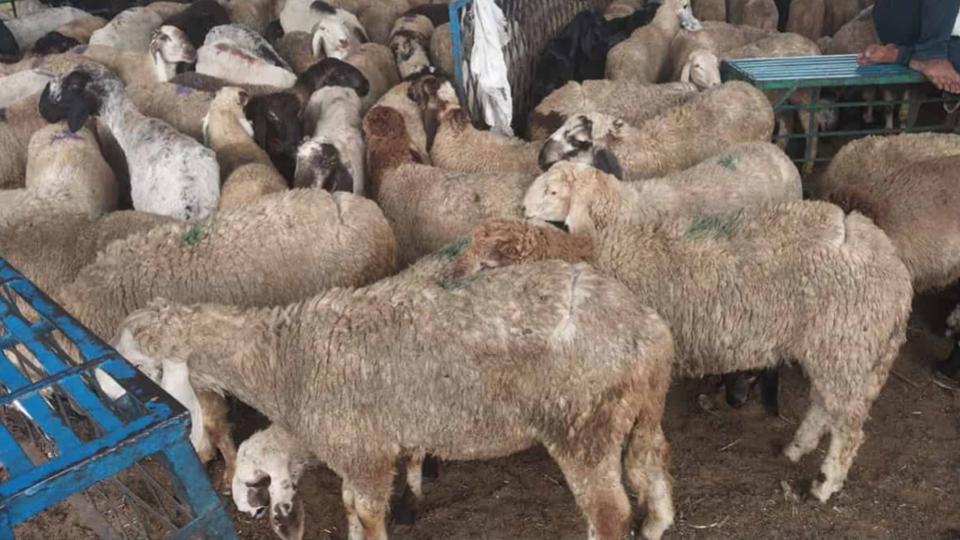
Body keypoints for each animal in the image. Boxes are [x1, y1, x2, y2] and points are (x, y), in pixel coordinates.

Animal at [109, 253, 677, 540]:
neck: (283, 358)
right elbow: (351, 511)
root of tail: (648, 332)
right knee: (651, 471)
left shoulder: (363, 454)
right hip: (639, 412)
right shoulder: (363, 452)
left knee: (609, 512)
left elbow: (365, 514)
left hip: (584, 425)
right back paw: (655, 525)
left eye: (135, 364)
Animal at [458, 194, 913, 503]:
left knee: (848, 426)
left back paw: (824, 484)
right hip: (832, 346)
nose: (453, 286)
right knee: (823, 404)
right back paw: (796, 449)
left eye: (487, 266)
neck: (592, 259)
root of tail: (895, 265)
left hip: (847, 342)